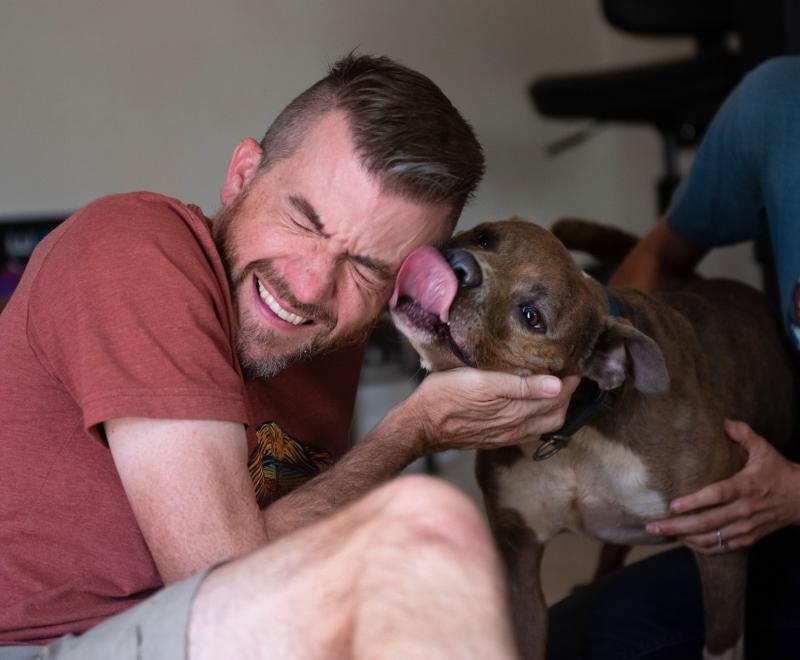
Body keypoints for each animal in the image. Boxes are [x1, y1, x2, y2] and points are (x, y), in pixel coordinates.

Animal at [390, 218, 792, 660]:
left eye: (531, 317)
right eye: (484, 237)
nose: (461, 266)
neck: (581, 435)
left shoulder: (720, 542)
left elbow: (720, 643)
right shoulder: (518, 559)